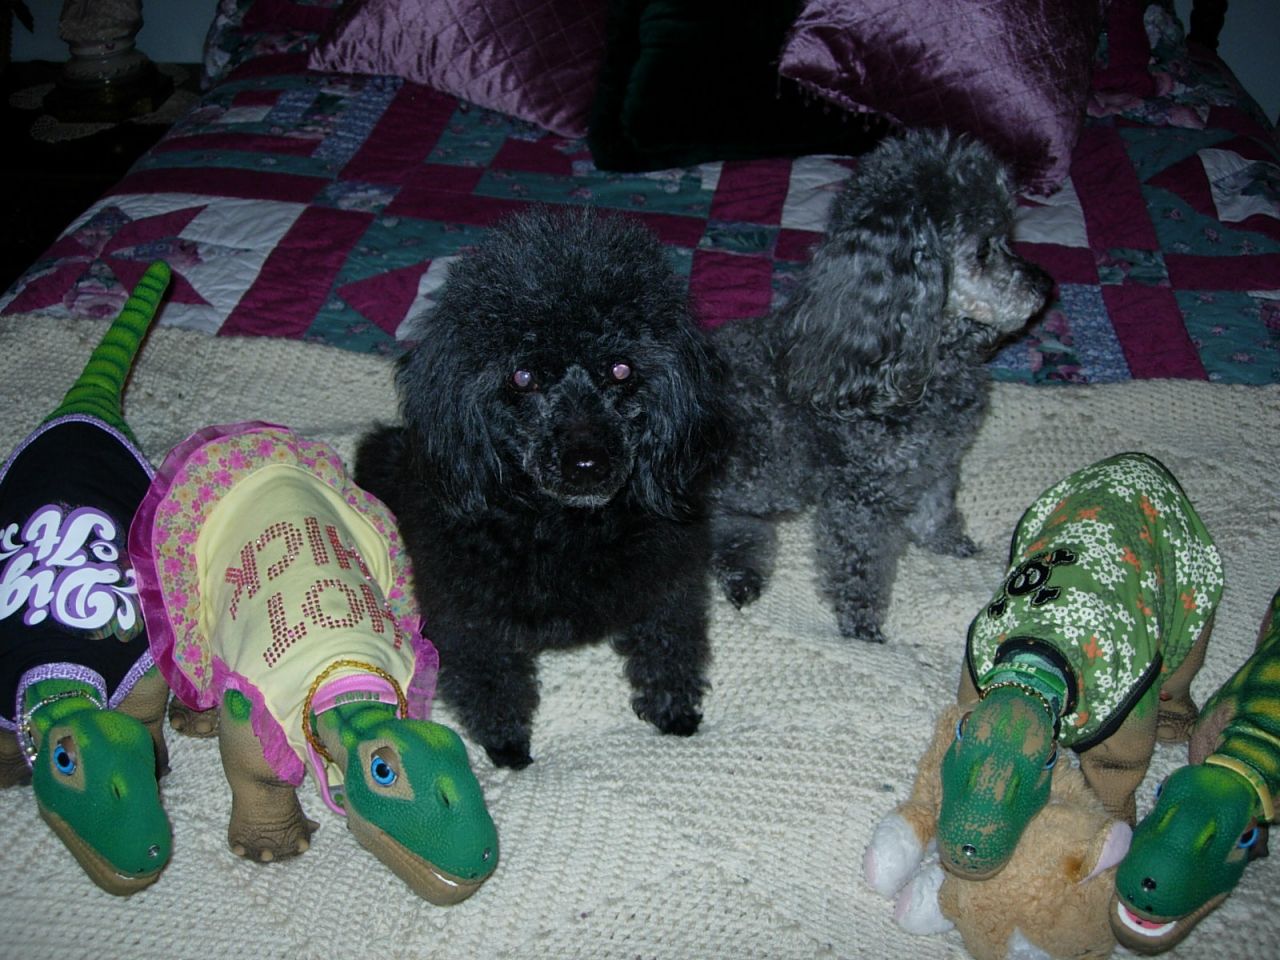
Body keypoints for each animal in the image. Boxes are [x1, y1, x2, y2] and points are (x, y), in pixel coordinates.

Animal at [355, 208, 727, 768]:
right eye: (523, 377)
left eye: (621, 369)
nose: (587, 464)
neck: (567, 528)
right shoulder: (468, 614)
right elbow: (492, 681)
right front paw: (507, 744)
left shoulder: (668, 581)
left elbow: (669, 646)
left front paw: (674, 710)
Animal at [711, 129, 1053, 643]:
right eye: (983, 250)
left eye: (1008, 238)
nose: (1044, 286)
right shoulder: (858, 499)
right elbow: (861, 565)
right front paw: (862, 627)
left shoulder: (937, 461)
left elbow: (937, 508)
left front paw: (948, 542)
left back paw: (742, 574)